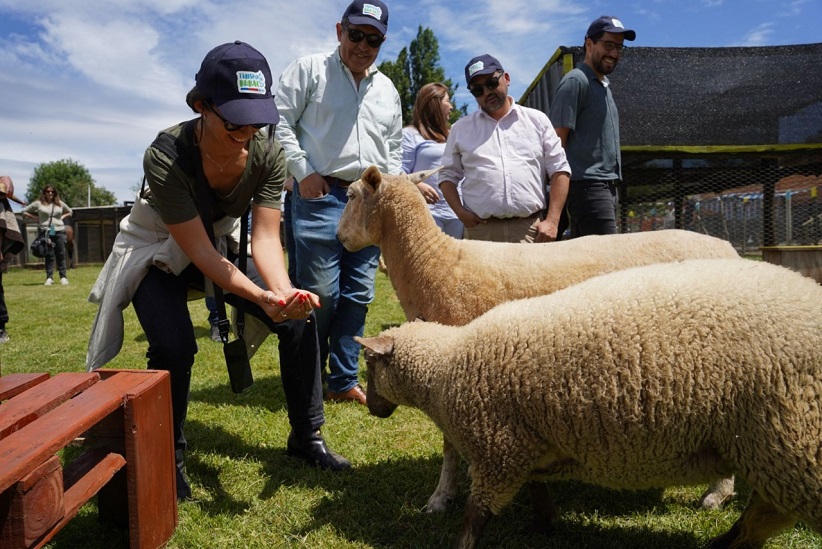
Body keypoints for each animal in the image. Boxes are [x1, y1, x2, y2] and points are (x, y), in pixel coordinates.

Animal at [338, 166, 744, 510]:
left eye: (352, 195)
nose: (340, 238)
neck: (435, 264)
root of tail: (729, 249)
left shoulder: (448, 362)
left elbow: (449, 443)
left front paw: (441, 497)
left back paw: (716, 494)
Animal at [358, 258, 822, 548]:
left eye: (368, 364)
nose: (371, 409)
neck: (445, 366)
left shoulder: (498, 449)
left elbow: (475, 517)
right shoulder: (526, 443)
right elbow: (538, 486)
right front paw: (547, 523)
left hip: (792, 441)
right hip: (776, 453)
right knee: (760, 521)